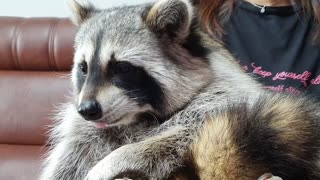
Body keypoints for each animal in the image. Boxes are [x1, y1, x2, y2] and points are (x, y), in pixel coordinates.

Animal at [39, 0, 320, 179]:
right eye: (84, 68)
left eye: (122, 68)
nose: (87, 110)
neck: (137, 117)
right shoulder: (87, 132)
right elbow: (72, 154)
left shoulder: (225, 101)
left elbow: (173, 141)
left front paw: (112, 161)